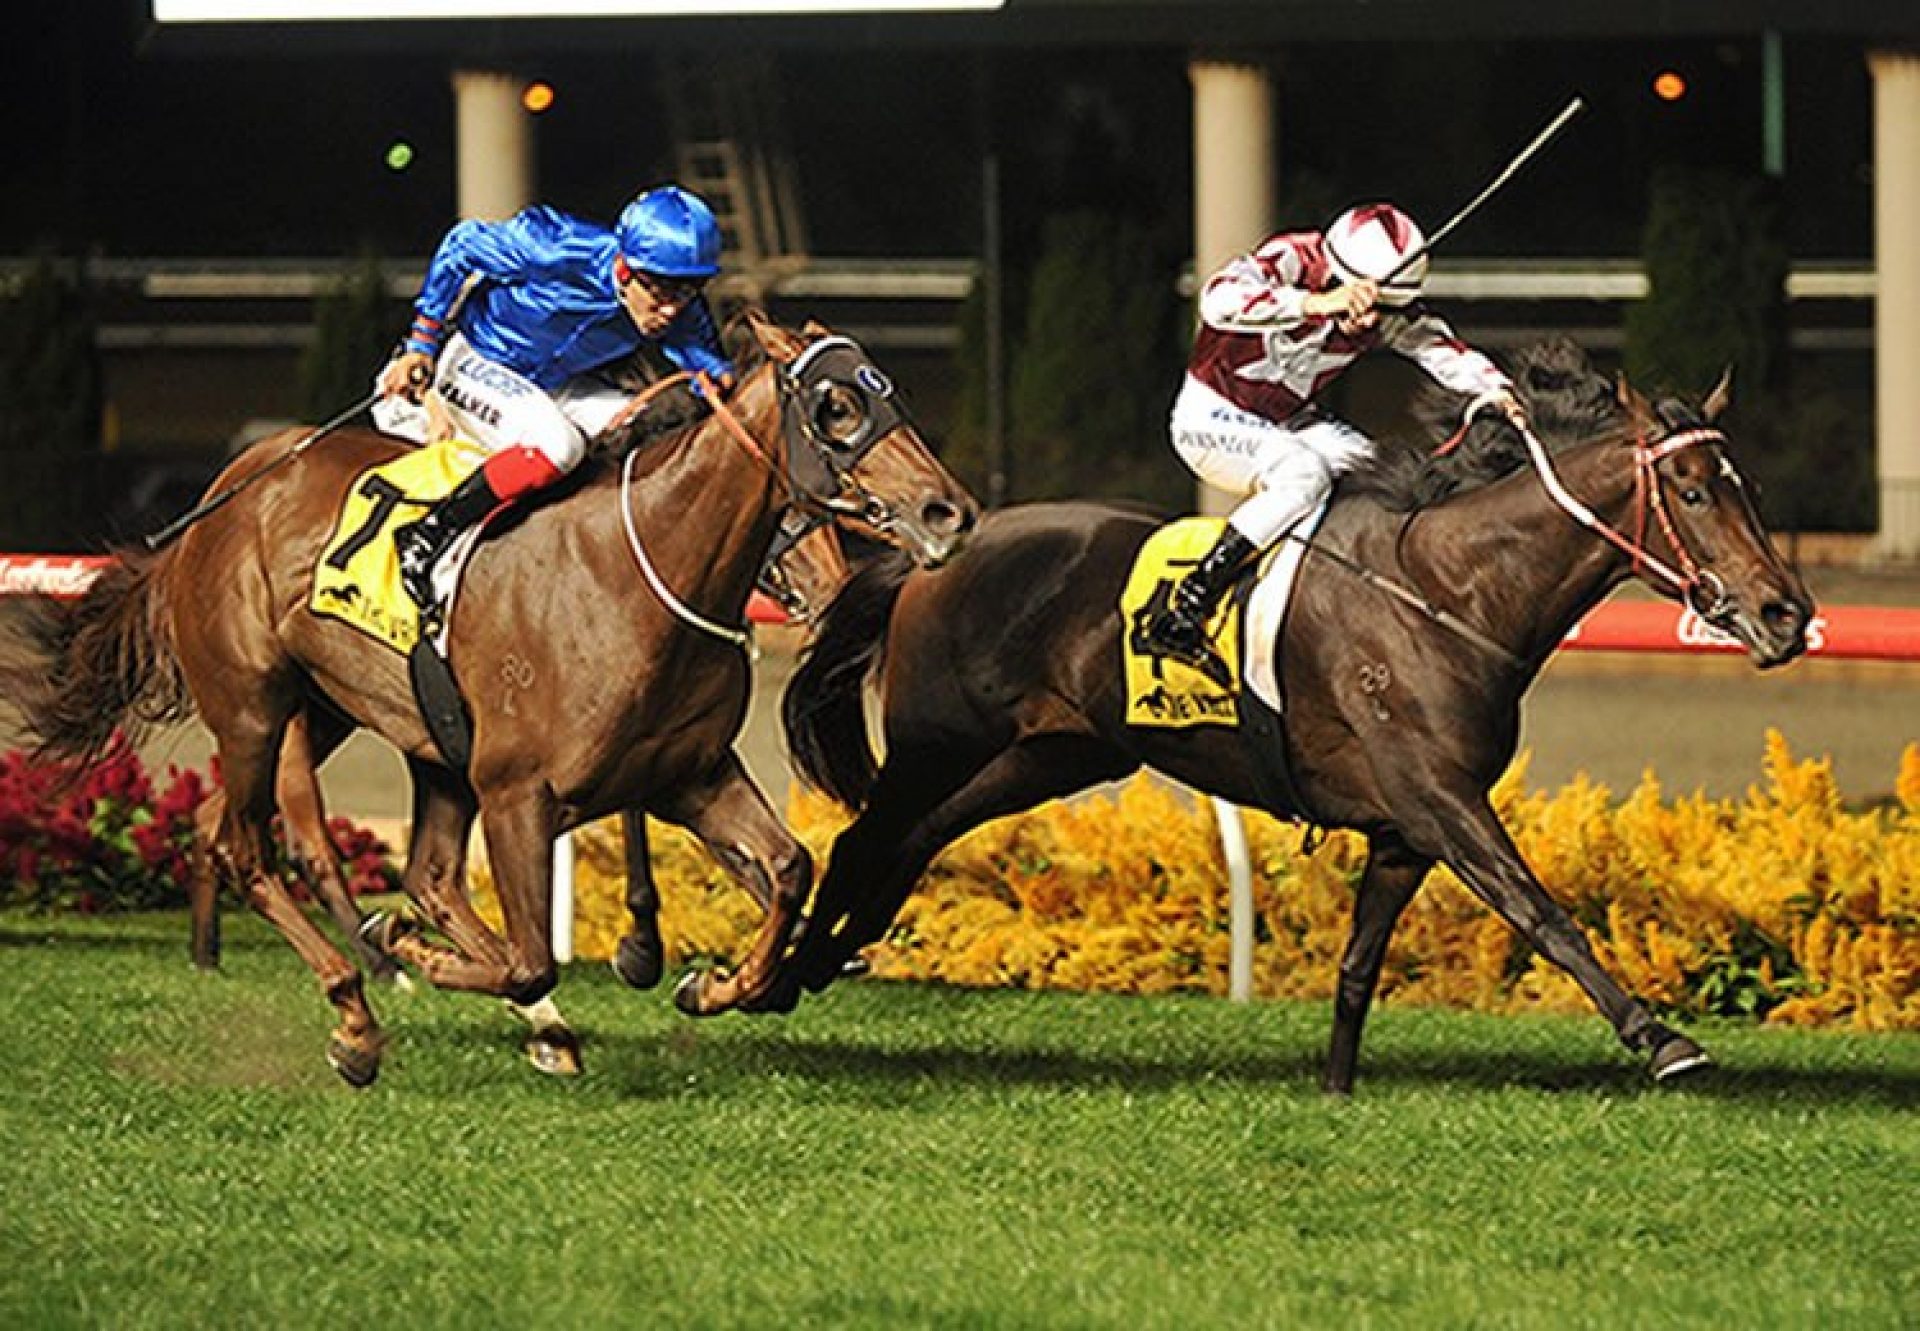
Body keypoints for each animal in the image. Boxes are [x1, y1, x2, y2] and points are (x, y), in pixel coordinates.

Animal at [3, 316, 975, 1083]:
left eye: (890, 395)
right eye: (837, 408)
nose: (948, 512)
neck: (641, 564)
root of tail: (221, 496)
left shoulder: (688, 772)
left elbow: (785, 867)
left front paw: (719, 982)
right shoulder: (518, 790)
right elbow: (533, 958)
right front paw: (432, 957)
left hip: (372, 721)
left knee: (421, 871)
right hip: (253, 704)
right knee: (251, 847)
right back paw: (358, 1005)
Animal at [775, 341, 1812, 1090]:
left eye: (1753, 490)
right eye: (1691, 492)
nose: (1785, 613)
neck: (1450, 592)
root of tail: (934, 548)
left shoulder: (1406, 832)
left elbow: (1357, 969)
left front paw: (1336, 1089)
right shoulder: (1441, 799)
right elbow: (1540, 909)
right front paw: (1661, 1035)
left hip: (1049, 755)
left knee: (919, 838)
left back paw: (831, 953)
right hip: (936, 741)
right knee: (866, 838)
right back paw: (784, 970)